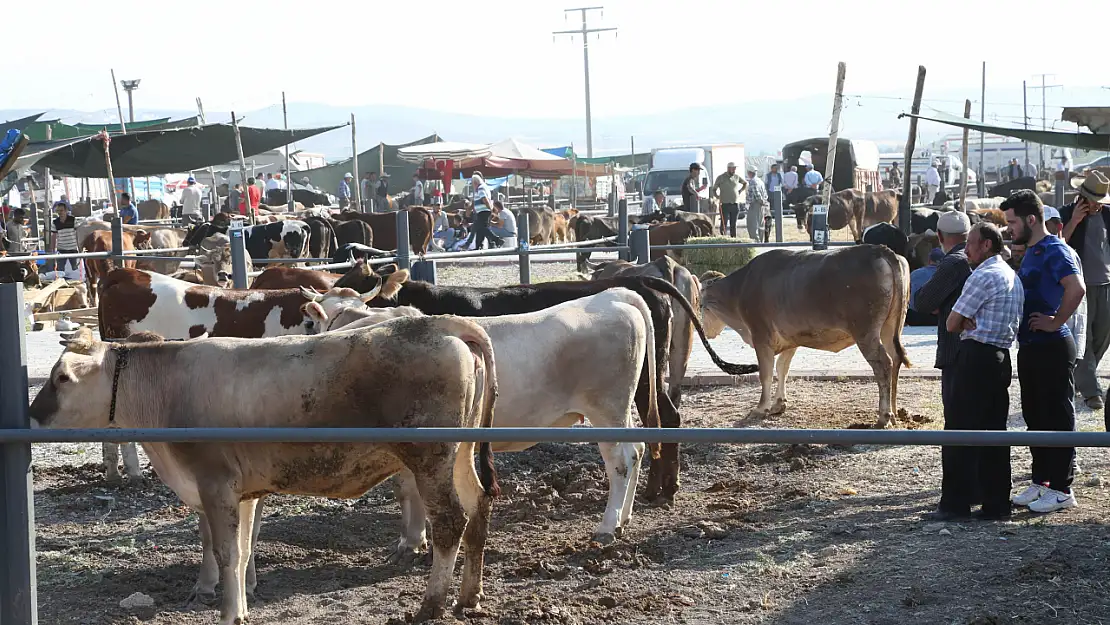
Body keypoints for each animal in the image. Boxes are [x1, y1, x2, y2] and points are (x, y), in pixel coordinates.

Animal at [30, 321, 501, 625]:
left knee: (450, 520)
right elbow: (242, 551)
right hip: (459, 453)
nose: (32, 417)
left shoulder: (216, 483)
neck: (167, 389)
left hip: (430, 457)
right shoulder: (242, 491)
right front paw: (239, 603)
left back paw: (430, 606)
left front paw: (228, 614)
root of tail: (439, 325)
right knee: (478, 502)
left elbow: (227, 552)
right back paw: (468, 597)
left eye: (62, 377)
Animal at [359, 276, 759, 501]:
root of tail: (639, 282)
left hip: (639, 384)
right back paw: (657, 489)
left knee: (661, 422)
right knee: (657, 424)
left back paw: (658, 492)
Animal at [701, 244, 910, 430]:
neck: (739, 289)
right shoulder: (791, 338)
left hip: (865, 331)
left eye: (700, 304)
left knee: (883, 364)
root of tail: (879, 249)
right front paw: (778, 404)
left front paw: (761, 408)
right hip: (891, 327)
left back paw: (883, 417)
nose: (704, 329)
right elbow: (782, 368)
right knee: (895, 358)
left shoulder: (761, 336)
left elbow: (766, 373)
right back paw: (894, 413)